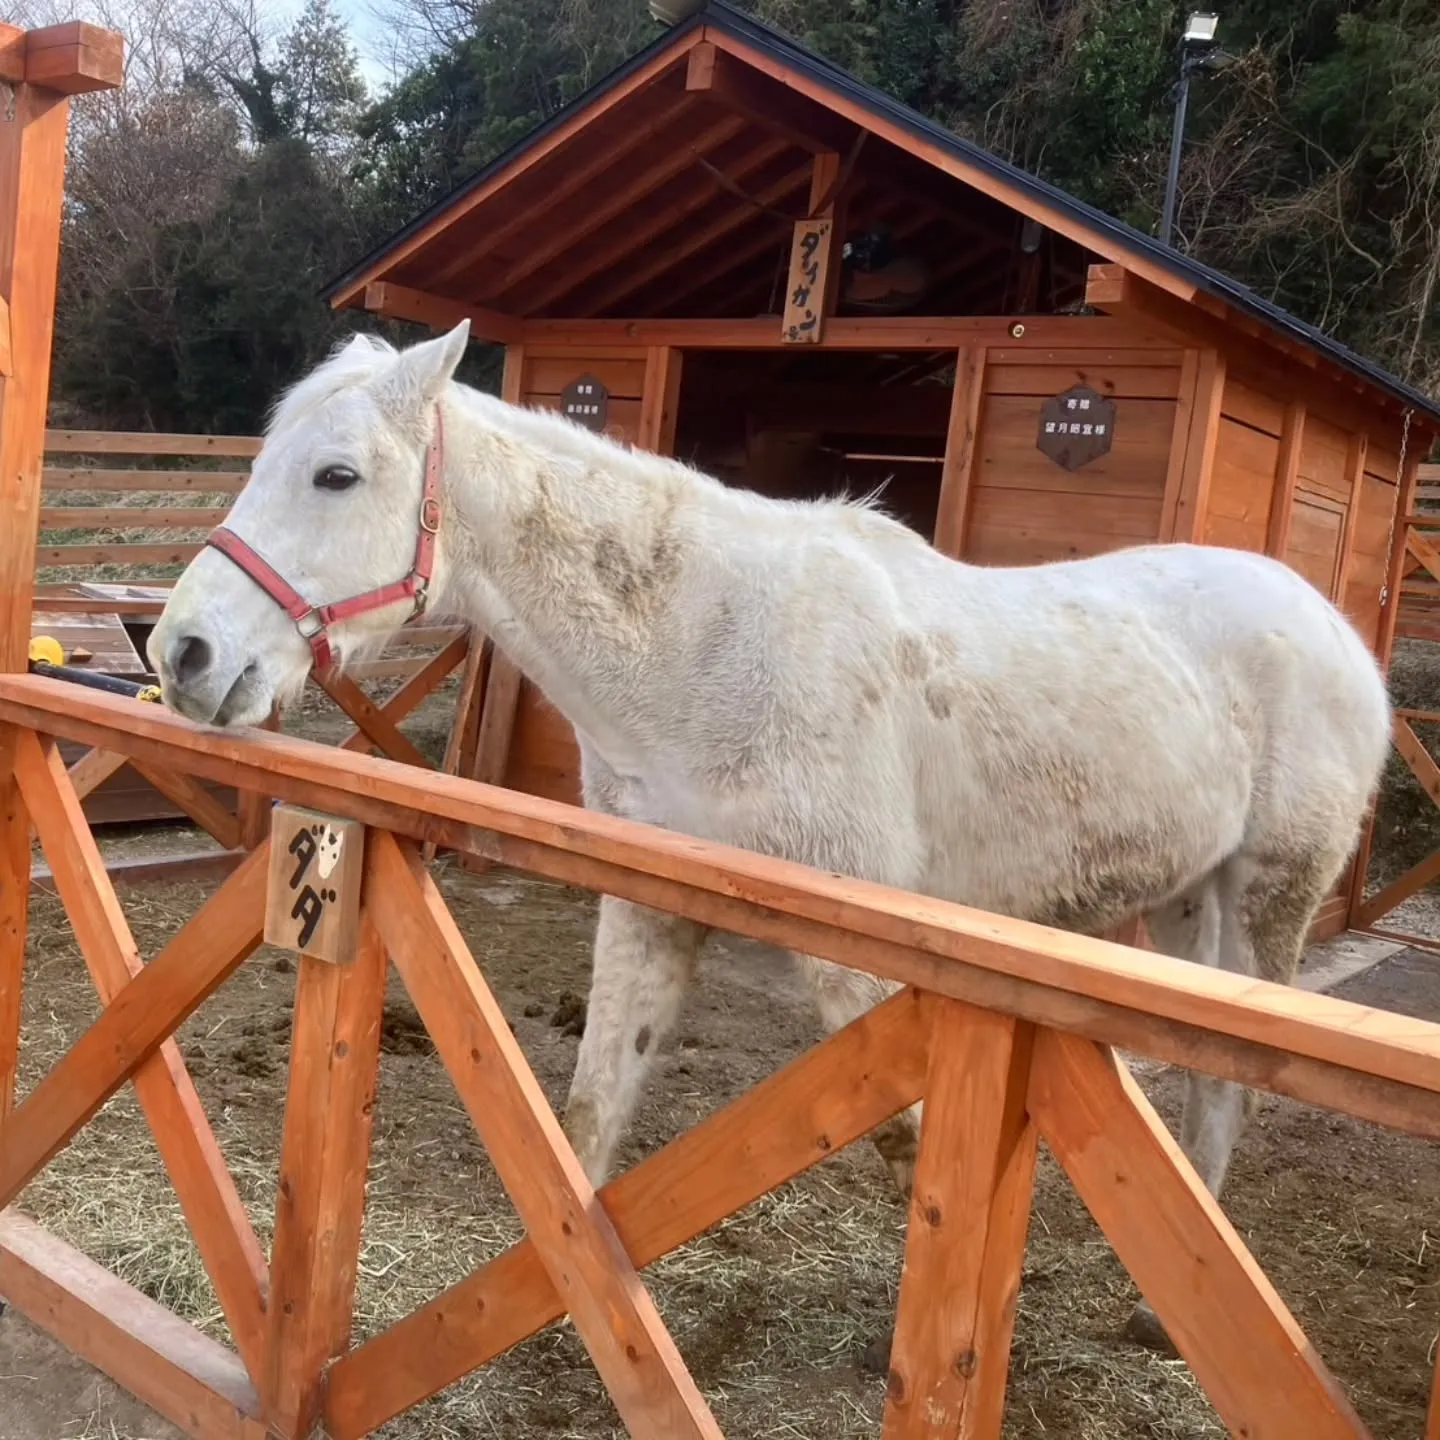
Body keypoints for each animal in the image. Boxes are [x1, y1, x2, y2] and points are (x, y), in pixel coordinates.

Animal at [149, 324, 1393, 1347]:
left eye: (338, 474)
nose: (183, 653)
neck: (701, 653)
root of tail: (1339, 633)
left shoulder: (873, 966)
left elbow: (912, 1156)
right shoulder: (646, 911)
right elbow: (587, 1127)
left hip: (1269, 896)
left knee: (1232, 1087)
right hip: (1191, 899)